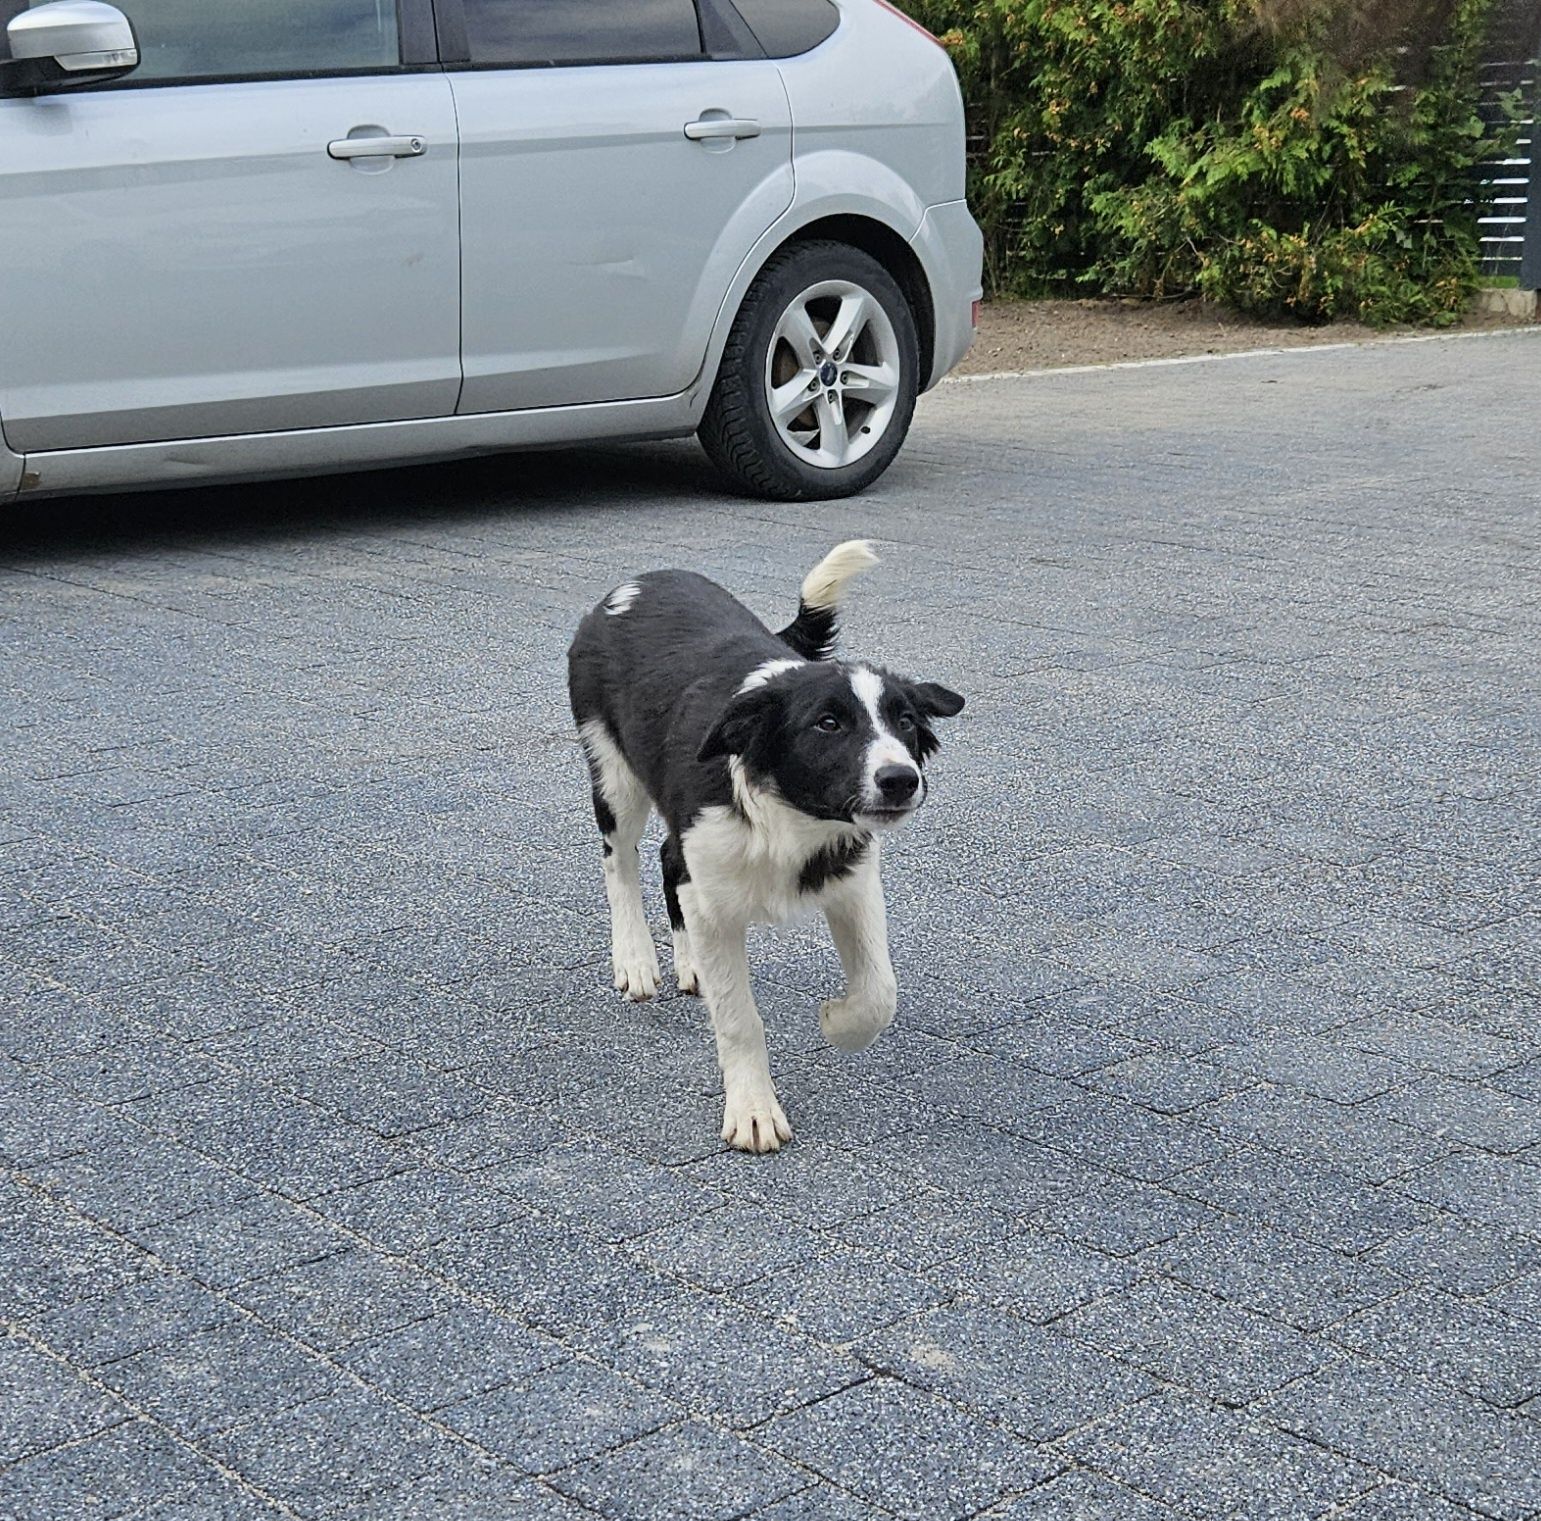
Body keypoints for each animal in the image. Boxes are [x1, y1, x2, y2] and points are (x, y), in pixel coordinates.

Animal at [567, 542, 961, 1146]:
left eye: (907, 722)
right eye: (828, 724)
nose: (900, 780)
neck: (790, 816)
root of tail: (636, 583)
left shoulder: (853, 880)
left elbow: (880, 992)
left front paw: (839, 1023)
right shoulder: (715, 880)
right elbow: (738, 1018)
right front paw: (753, 1109)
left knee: (668, 859)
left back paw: (691, 964)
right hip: (614, 773)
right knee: (621, 861)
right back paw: (635, 960)